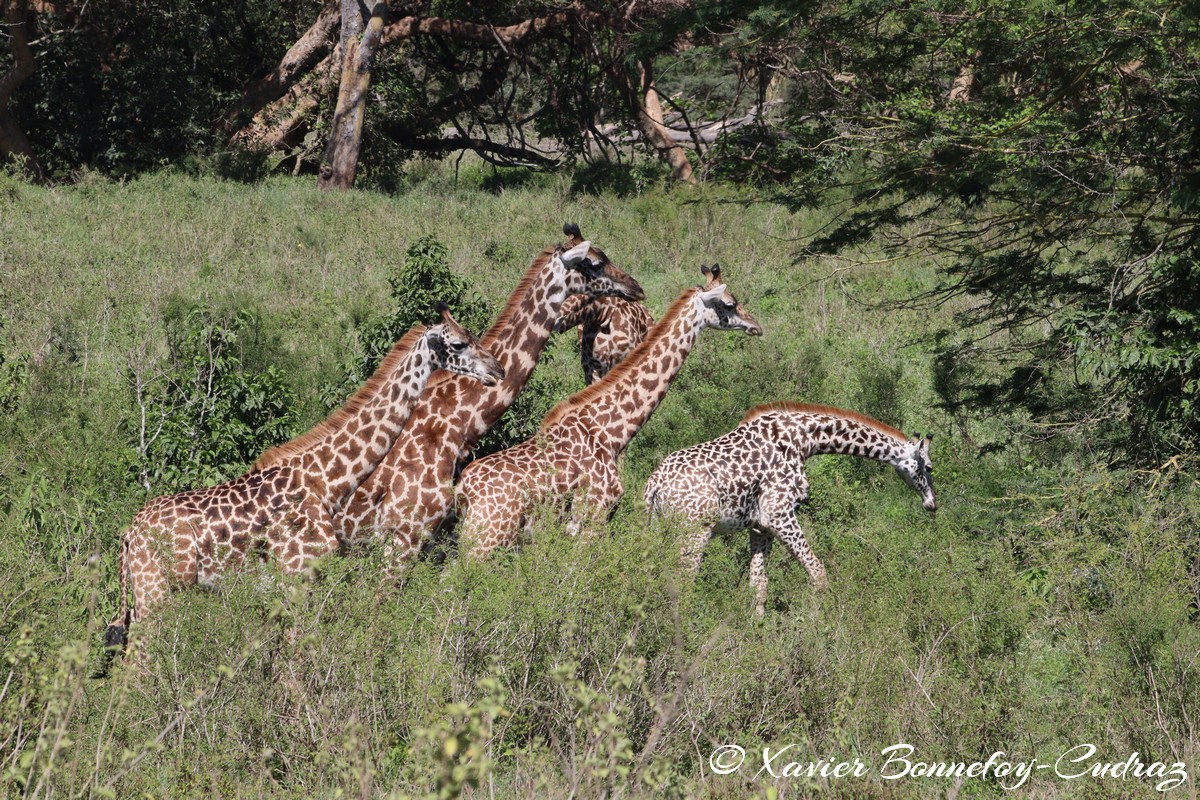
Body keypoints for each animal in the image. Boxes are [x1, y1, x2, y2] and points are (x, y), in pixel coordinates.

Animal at [96, 307, 501, 671]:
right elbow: (294, 661)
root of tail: (129, 533)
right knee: (135, 664)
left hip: (147, 593)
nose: (496, 370)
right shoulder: (296, 579)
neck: (326, 482)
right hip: (155, 591)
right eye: (460, 343)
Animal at [453, 266, 763, 561]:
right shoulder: (594, 515)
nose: (756, 326)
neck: (611, 431)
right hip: (487, 537)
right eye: (730, 303)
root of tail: (464, 491)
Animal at [648, 402, 936, 618]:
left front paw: (758, 633)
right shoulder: (779, 514)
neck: (805, 440)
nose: (932, 503)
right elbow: (818, 573)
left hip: (663, 529)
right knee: (683, 583)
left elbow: (759, 585)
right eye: (929, 467)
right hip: (694, 531)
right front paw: (816, 624)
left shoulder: (760, 526)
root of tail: (654, 483)